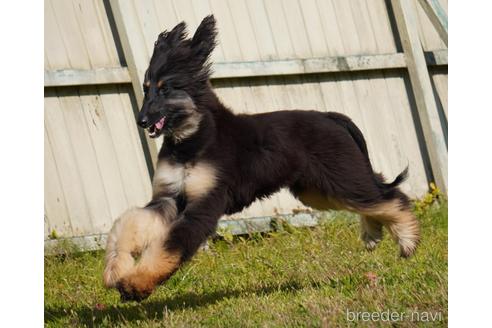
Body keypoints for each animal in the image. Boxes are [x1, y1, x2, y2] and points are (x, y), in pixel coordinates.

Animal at [103, 16, 418, 302]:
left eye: (165, 87)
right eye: (146, 88)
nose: (141, 121)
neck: (191, 141)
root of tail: (330, 116)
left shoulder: (204, 203)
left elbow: (172, 244)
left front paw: (136, 284)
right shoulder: (169, 197)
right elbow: (129, 222)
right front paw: (116, 267)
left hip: (340, 177)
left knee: (389, 197)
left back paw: (408, 240)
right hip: (316, 190)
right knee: (373, 198)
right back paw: (374, 233)